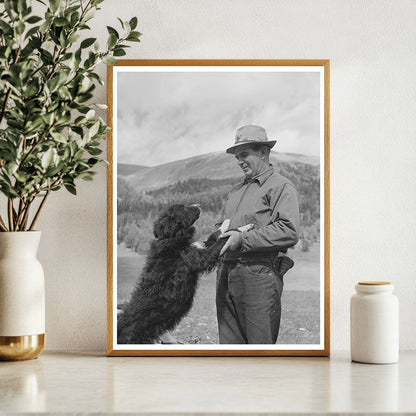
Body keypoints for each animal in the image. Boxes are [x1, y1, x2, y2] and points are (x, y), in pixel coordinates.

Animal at [117, 204, 242, 344]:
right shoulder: (203, 258)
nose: (198, 205)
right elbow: (221, 242)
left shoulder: (202, 248)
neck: (173, 237)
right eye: (184, 208)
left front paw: (225, 223)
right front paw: (240, 228)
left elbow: (215, 236)